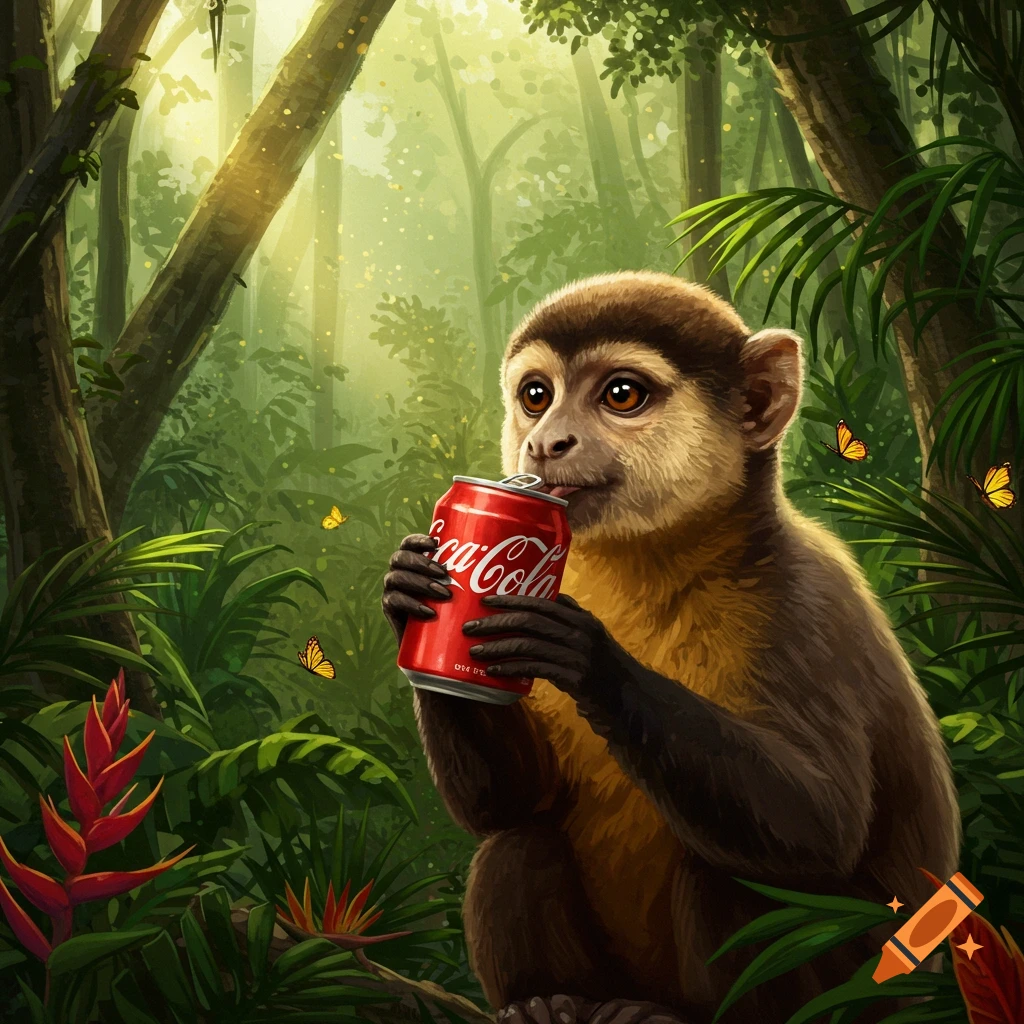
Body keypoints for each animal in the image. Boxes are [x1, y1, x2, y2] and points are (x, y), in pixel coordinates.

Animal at [380, 271, 960, 1024]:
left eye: (621, 394)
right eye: (537, 396)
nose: (546, 443)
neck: (656, 562)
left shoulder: (803, 605)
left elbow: (822, 827)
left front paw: (588, 657)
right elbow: (510, 803)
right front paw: (410, 590)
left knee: (735, 871)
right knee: (523, 838)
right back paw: (549, 1000)